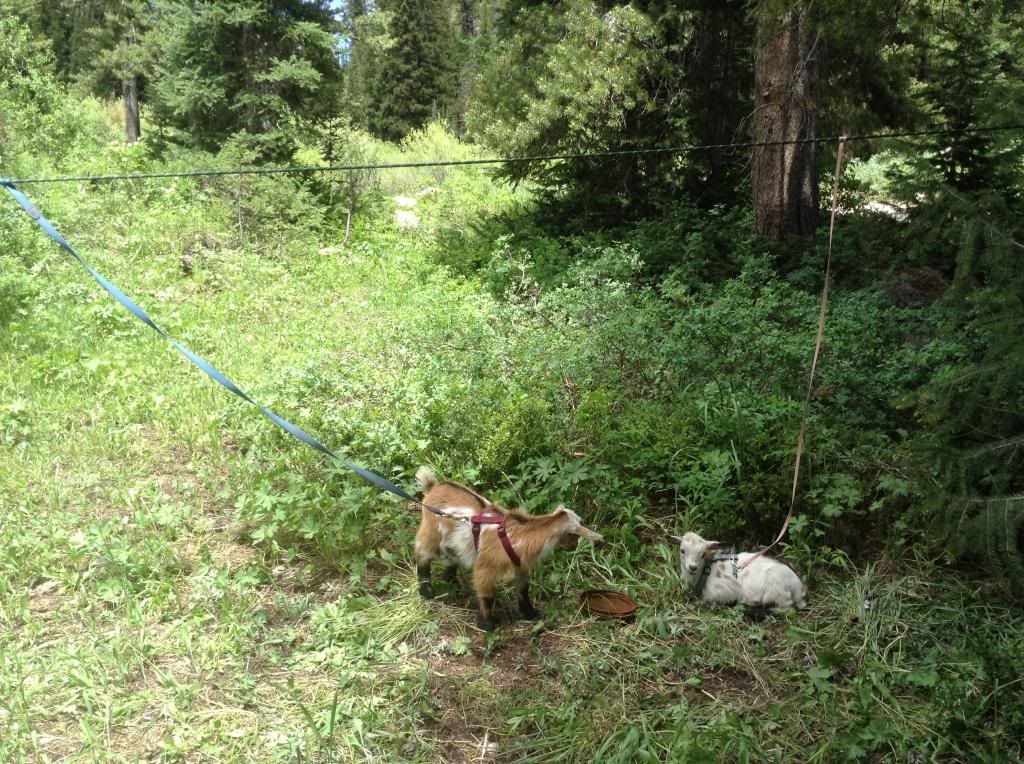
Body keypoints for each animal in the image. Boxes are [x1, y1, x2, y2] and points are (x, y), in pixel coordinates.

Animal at [414, 467, 603, 631]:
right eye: (575, 535)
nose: (574, 546)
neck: (519, 536)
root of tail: (433, 486)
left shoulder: (520, 567)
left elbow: (523, 591)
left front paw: (531, 613)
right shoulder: (485, 568)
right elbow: (487, 594)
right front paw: (487, 624)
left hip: (452, 540)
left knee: (451, 557)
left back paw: (453, 584)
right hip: (431, 531)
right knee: (423, 554)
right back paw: (427, 591)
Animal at [672, 531, 807, 611]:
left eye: (703, 554)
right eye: (682, 550)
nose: (692, 567)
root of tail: (798, 586)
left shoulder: (722, 592)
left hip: (775, 586)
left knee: (787, 604)